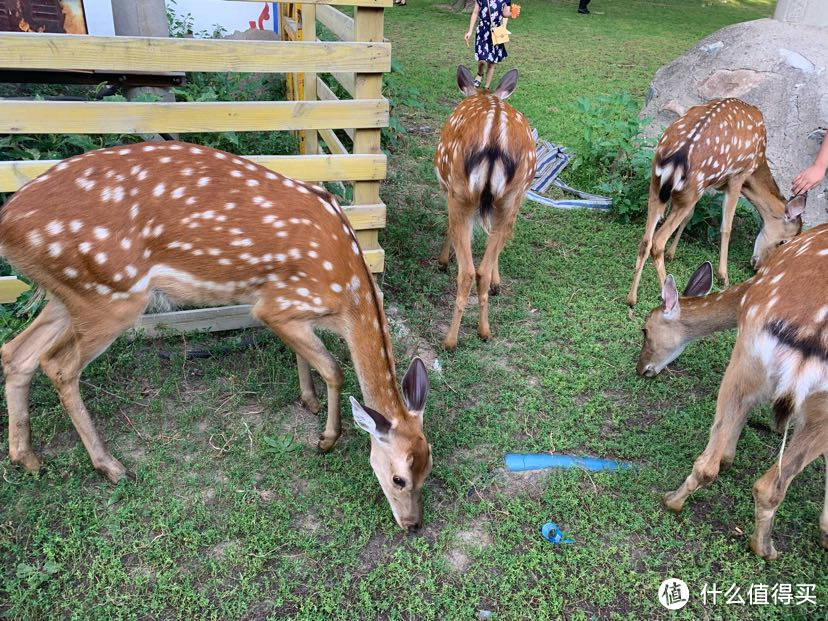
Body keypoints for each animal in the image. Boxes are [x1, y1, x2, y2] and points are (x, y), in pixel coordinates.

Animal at [1, 142, 434, 532]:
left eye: (429, 466)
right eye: (398, 478)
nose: (413, 524)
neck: (348, 296)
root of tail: (8, 219)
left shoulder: (293, 310)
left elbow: (306, 357)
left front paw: (308, 401)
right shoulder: (276, 305)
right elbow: (333, 369)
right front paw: (327, 438)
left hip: (71, 293)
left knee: (17, 352)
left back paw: (27, 458)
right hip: (111, 294)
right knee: (58, 364)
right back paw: (110, 466)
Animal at [434, 66, 536, 354]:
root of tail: (494, 142)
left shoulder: (447, 188)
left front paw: (443, 260)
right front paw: (497, 284)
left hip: (461, 191)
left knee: (468, 271)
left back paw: (450, 341)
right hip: (512, 195)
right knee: (483, 267)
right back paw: (485, 331)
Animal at [628, 97, 804, 308]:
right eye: (783, 242)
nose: (757, 266)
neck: (758, 163)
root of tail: (676, 158)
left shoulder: (707, 186)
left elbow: (690, 216)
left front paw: (672, 253)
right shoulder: (738, 175)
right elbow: (726, 227)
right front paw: (723, 277)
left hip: (660, 185)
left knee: (646, 240)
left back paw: (631, 299)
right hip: (692, 187)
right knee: (657, 242)